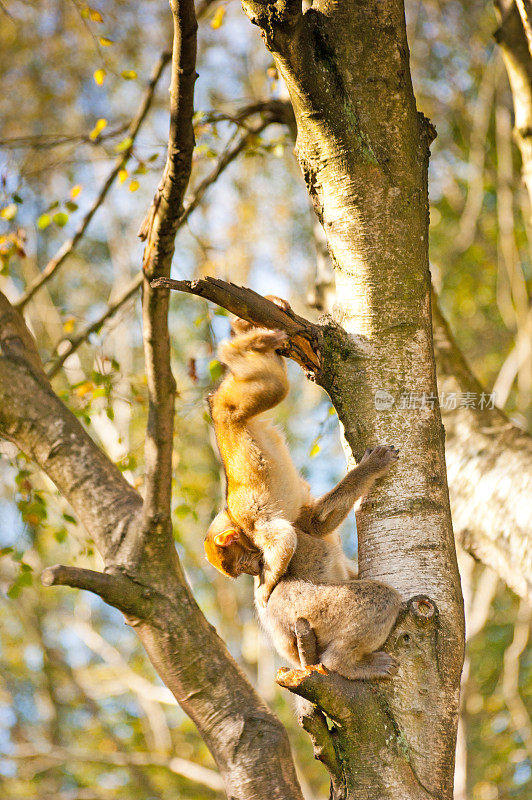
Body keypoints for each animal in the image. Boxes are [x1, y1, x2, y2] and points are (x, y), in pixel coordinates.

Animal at [258, 444, 404, 680]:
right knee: (384, 597)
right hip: (308, 606)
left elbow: (320, 520)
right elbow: (316, 523)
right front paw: (371, 466)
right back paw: (345, 664)